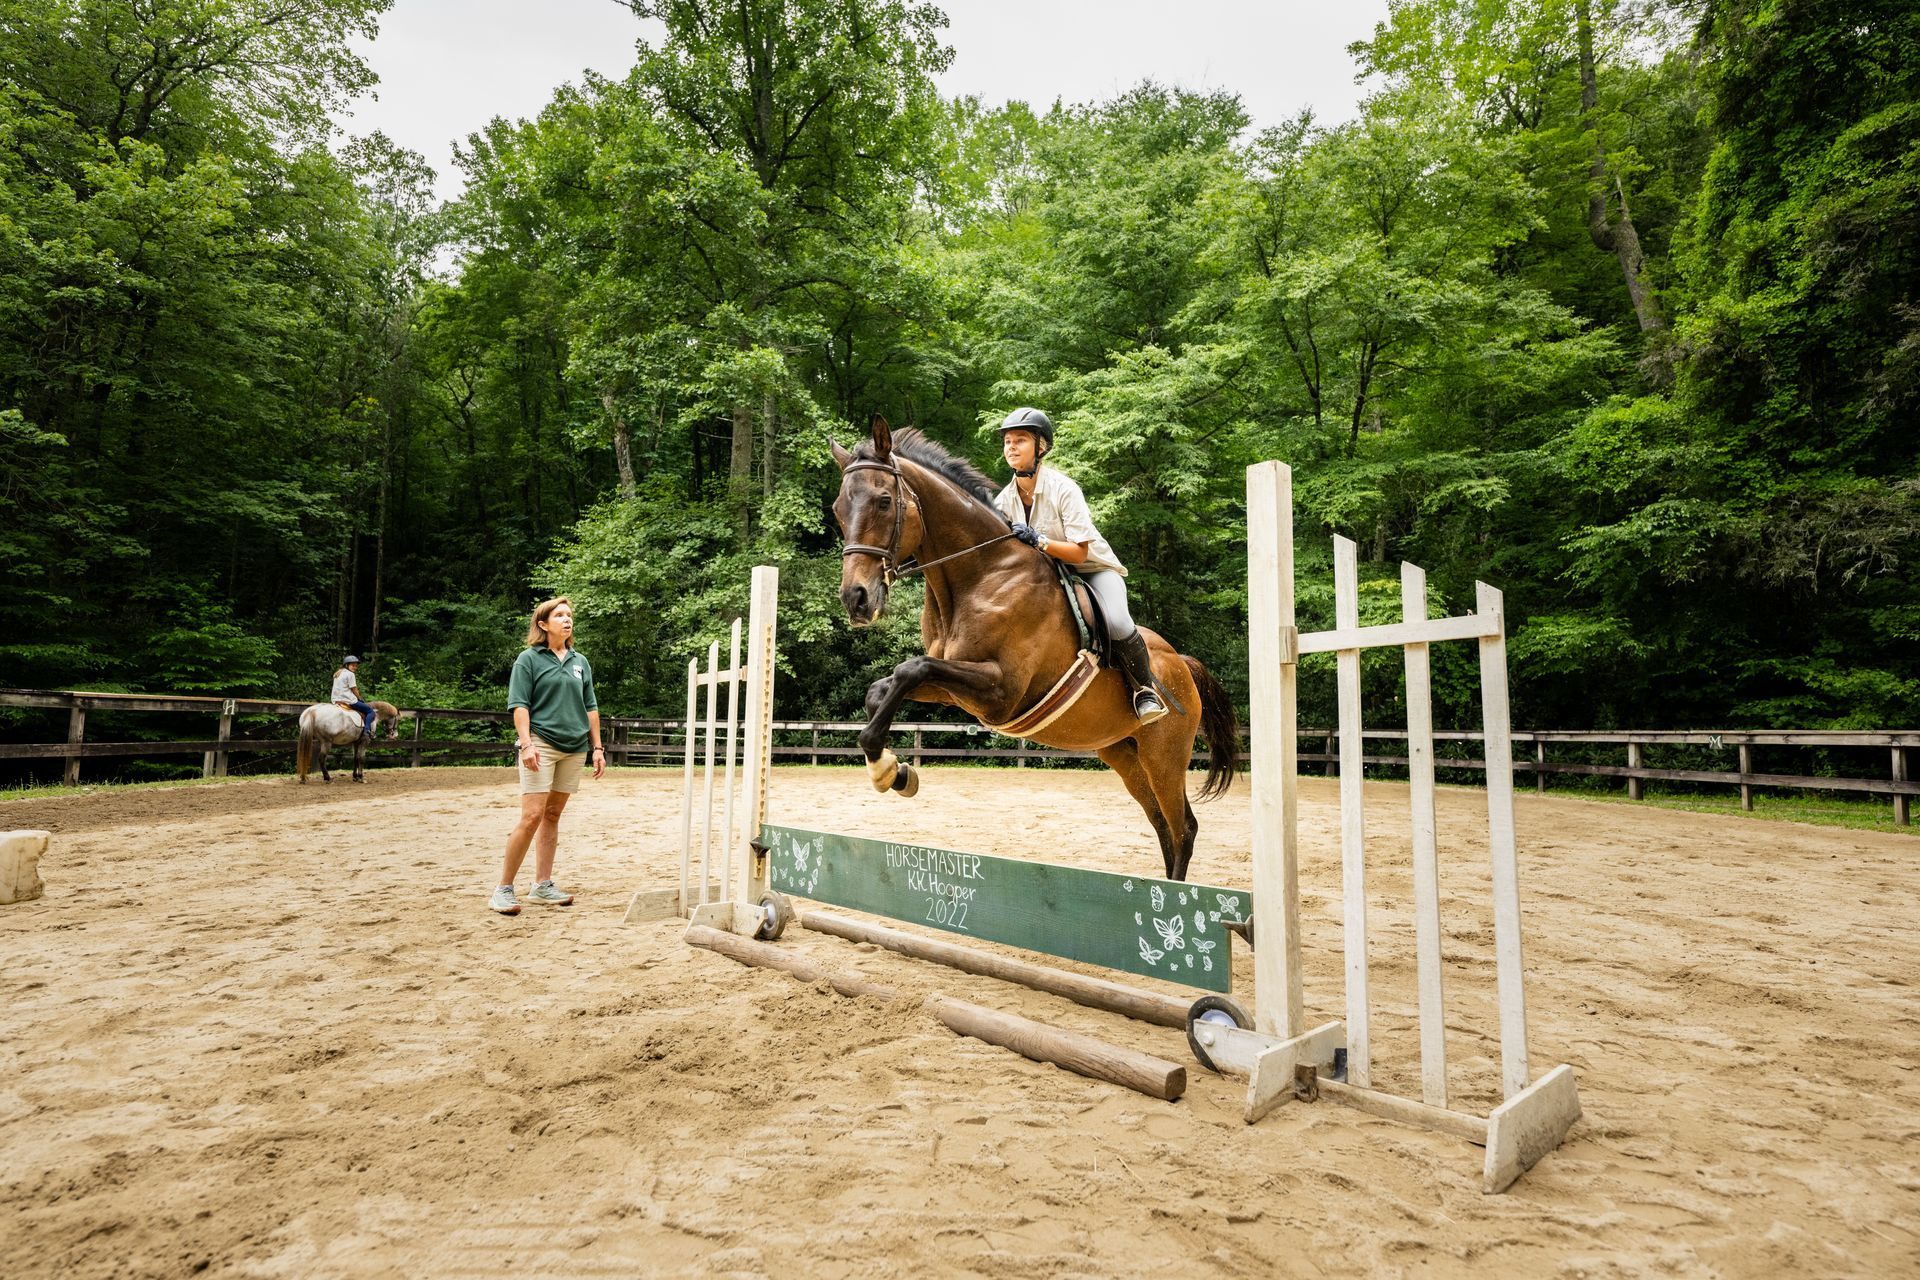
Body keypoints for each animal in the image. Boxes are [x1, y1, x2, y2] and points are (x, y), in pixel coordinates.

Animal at [831, 416, 1239, 882]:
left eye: (883, 502)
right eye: (838, 509)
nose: (856, 599)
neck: (980, 574)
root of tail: (1182, 664)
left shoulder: (1000, 692)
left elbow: (911, 669)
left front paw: (886, 770)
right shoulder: (955, 686)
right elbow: (885, 687)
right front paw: (893, 769)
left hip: (1163, 755)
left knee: (1183, 826)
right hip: (1124, 754)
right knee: (1162, 825)